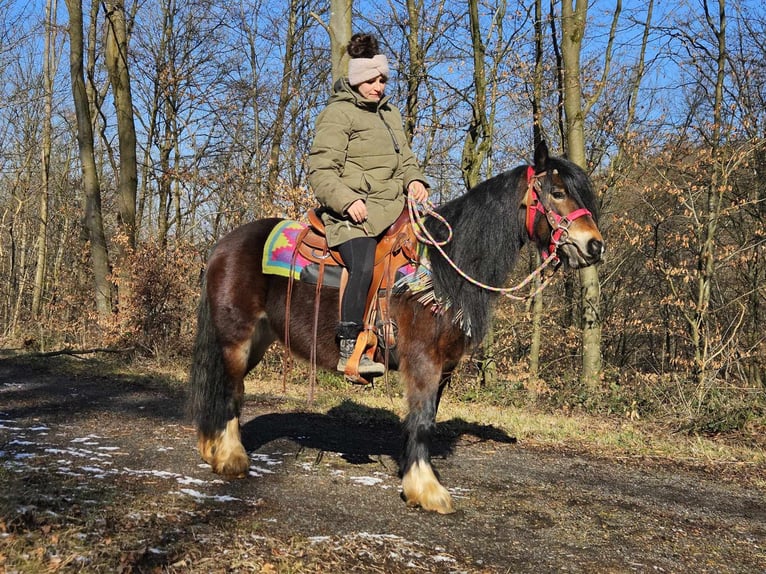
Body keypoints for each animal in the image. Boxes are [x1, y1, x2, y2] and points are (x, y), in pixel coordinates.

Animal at [188, 142, 608, 516]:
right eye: (557, 192)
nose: (594, 246)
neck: (442, 270)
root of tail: (223, 245)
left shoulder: (445, 367)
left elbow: (427, 419)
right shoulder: (423, 361)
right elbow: (421, 421)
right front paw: (427, 490)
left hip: (256, 340)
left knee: (227, 388)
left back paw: (214, 447)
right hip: (237, 338)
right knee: (230, 391)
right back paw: (231, 458)